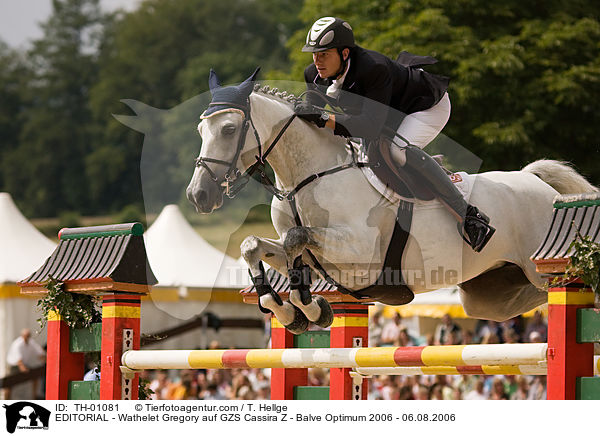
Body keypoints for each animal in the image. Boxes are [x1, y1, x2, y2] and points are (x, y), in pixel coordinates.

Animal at [186, 71, 596, 336]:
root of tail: (538, 182)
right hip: (492, 294)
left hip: (540, 266)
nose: (198, 195)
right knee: (529, 298)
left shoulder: (360, 256)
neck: (307, 175)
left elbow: (295, 241)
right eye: (200, 129)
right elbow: (255, 245)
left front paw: (307, 306)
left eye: (229, 129)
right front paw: (294, 312)